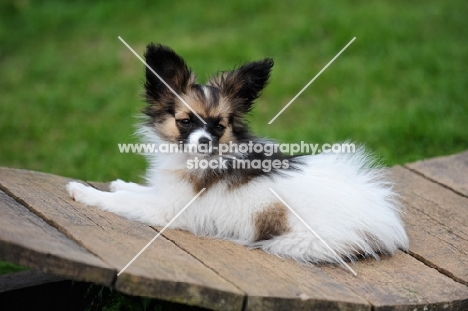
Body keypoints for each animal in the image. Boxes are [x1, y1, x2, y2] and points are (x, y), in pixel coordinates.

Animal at [66, 43, 410, 264]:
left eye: (219, 126)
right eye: (185, 121)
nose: (205, 141)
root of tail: (382, 219)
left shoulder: (167, 209)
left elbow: (124, 201)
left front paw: (83, 191)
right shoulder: (166, 194)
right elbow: (137, 190)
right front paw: (119, 183)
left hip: (296, 240)